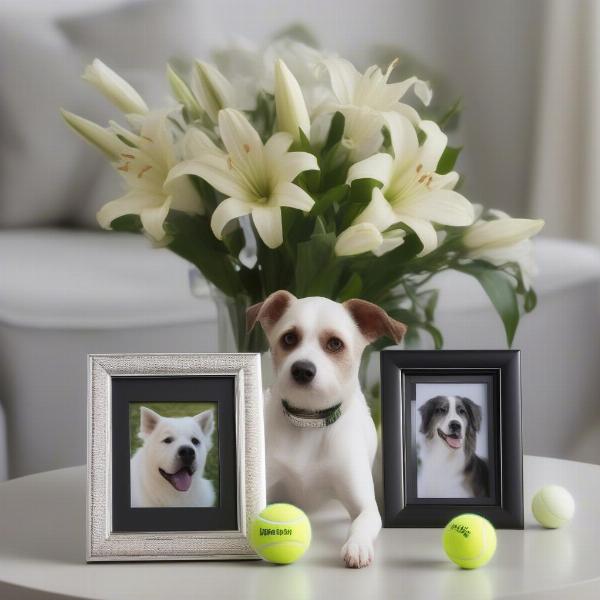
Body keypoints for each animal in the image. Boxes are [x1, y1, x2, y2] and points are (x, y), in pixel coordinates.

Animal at [246, 290, 406, 568]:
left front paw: (357, 545)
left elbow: (363, 522)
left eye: (334, 344)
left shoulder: (365, 504)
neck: (308, 423)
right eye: (289, 338)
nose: (302, 369)